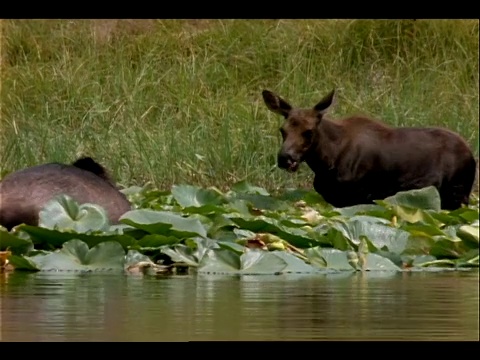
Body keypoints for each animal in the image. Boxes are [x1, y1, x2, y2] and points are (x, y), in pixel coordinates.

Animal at [262, 88, 476, 210]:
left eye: (308, 131)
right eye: (282, 130)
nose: (285, 157)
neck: (327, 161)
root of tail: (471, 154)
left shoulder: (360, 197)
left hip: (458, 193)